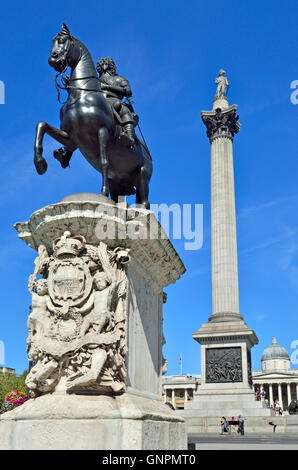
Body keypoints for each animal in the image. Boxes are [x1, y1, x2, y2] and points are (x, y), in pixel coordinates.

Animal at [33, 23, 152, 207]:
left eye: (62, 40)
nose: (53, 60)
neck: (80, 96)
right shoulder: (71, 138)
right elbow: (42, 125)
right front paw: (40, 163)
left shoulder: (102, 132)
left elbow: (104, 162)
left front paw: (102, 193)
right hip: (119, 182)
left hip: (142, 176)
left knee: (145, 203)